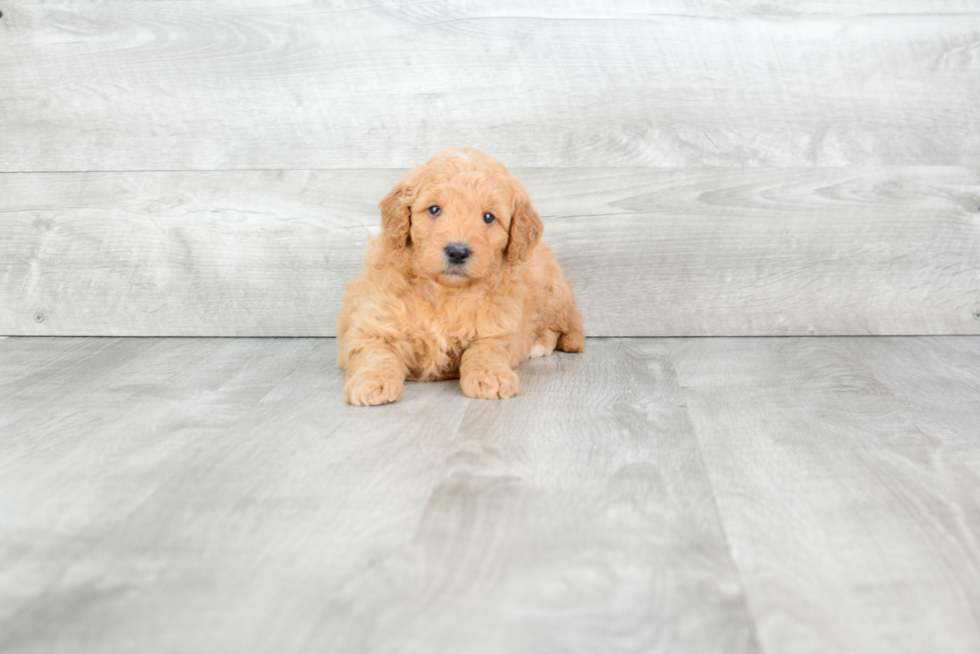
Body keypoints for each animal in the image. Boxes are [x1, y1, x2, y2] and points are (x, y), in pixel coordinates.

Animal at [336, 148, 580, 404]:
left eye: (488, 217)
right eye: (434, 209)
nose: (457, 252)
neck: (445, 292)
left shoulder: (497, 327)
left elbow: (486, 350)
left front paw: (491, 375)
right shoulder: (373, 325)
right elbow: (377, 353)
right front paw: (372, 382)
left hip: (553, 294)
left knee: (560, 328)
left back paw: (539, 344)